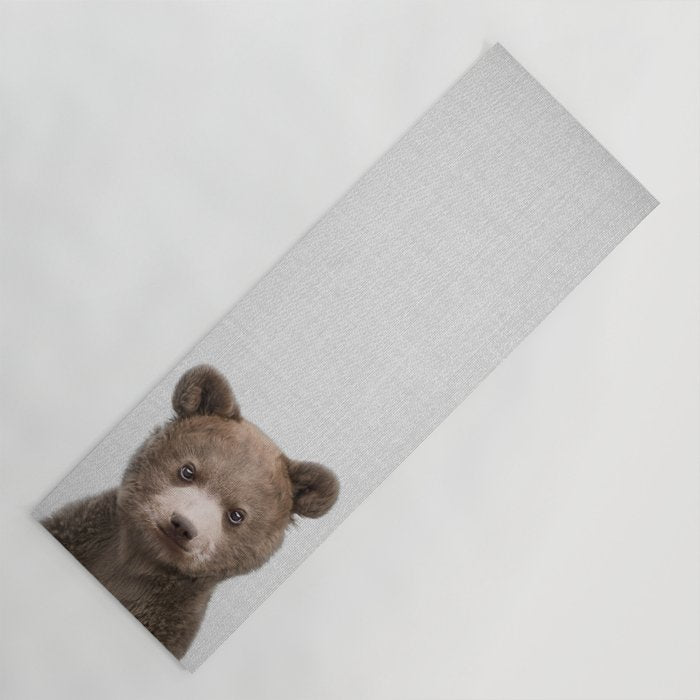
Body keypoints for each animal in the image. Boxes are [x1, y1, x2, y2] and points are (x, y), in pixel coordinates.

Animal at [41, 364, 339, 659]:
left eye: (237, 515)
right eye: (188, 470)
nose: (183, 525)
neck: (138, 561)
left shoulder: (169, 618)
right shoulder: (81, 532)